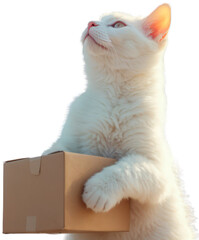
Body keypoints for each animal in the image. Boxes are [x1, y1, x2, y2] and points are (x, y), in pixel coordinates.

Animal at [43, 3, 196, 240]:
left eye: (118, 25)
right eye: (97, 20)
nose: (91, 23)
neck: (111, 94)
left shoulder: (157, 169)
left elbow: (126, 168)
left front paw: (98, 190)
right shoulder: (69, 137)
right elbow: (55, 150)